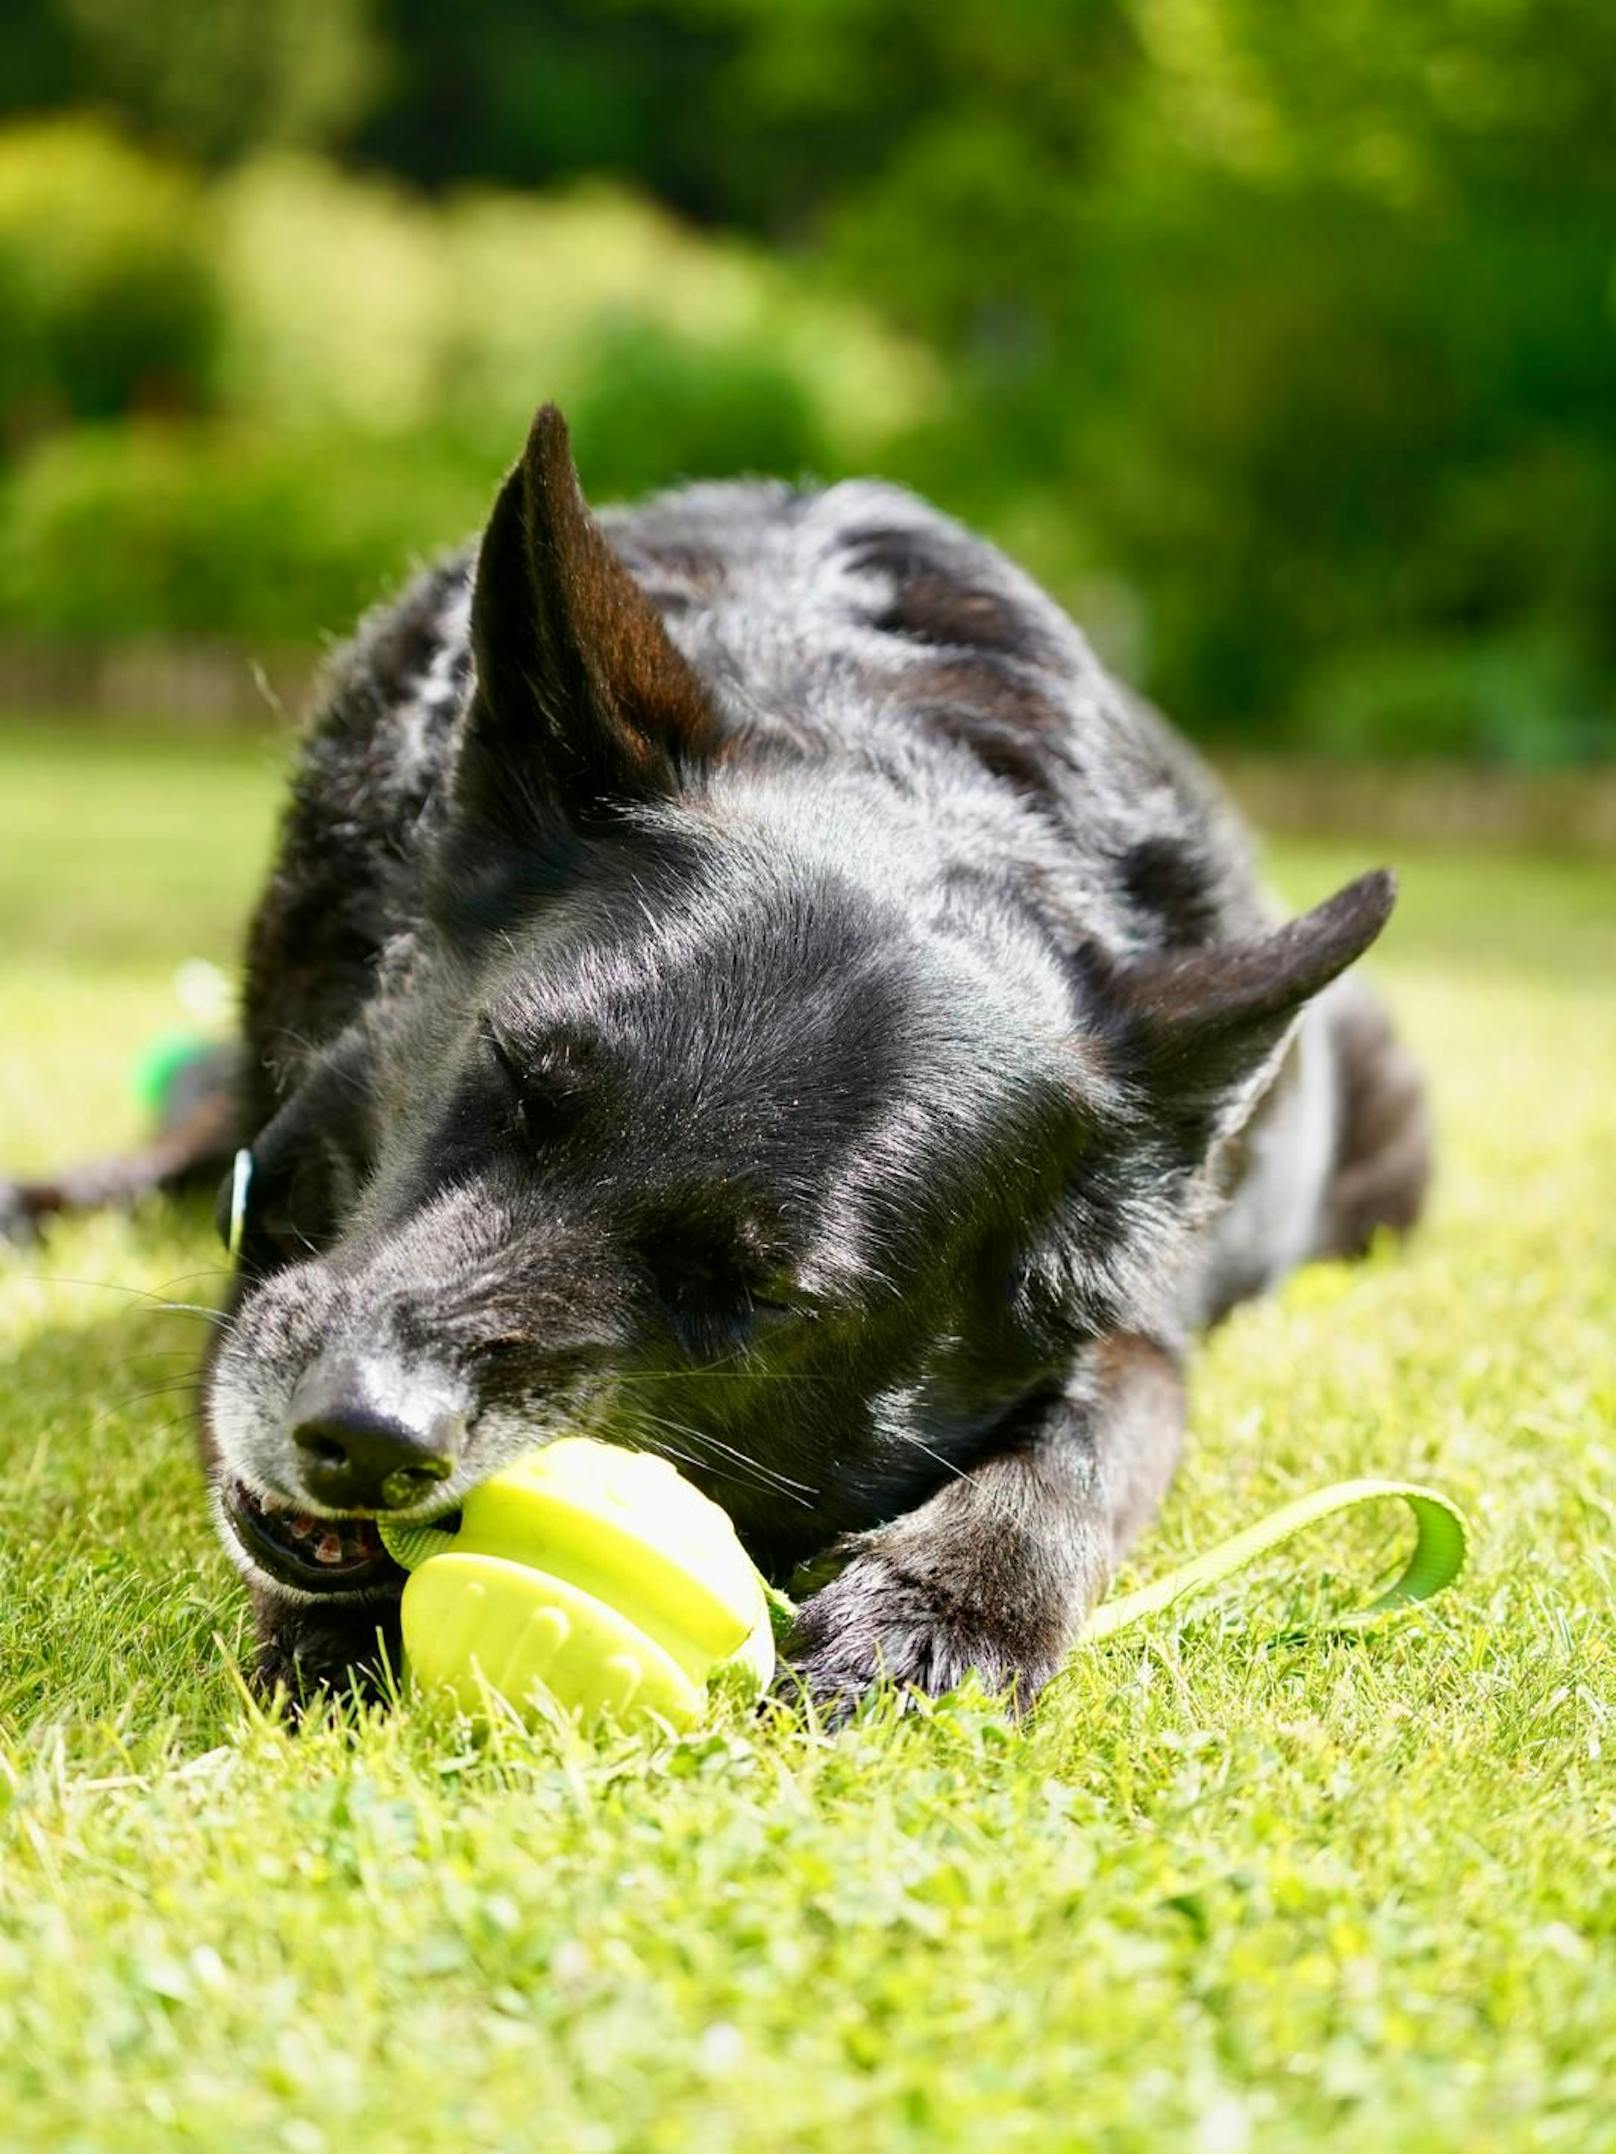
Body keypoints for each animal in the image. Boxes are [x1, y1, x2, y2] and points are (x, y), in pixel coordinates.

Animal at [9, 407, 1430, 1714]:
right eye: (513, 1079)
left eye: (759, 1294)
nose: (363, 1437)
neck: (885, 740)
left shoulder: (1140, 1330)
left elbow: (1092, 1434)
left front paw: (947, 1600)